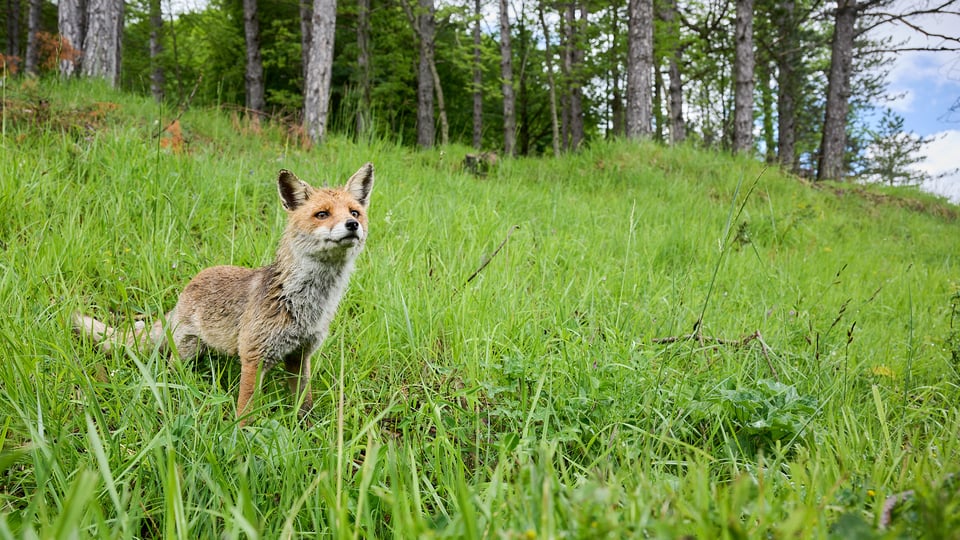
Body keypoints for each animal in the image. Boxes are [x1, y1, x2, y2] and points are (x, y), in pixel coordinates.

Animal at [72, 162, 376, 424]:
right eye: (322, 214)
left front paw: (306, 428)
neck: (304, 304)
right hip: (187, 351)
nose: (353, 225)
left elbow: (304, 402)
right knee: (171, 367)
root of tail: (189, 286)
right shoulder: (254, 356)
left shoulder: (300, 356)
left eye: (354, 212)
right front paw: (241, 439)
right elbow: (246, 410)